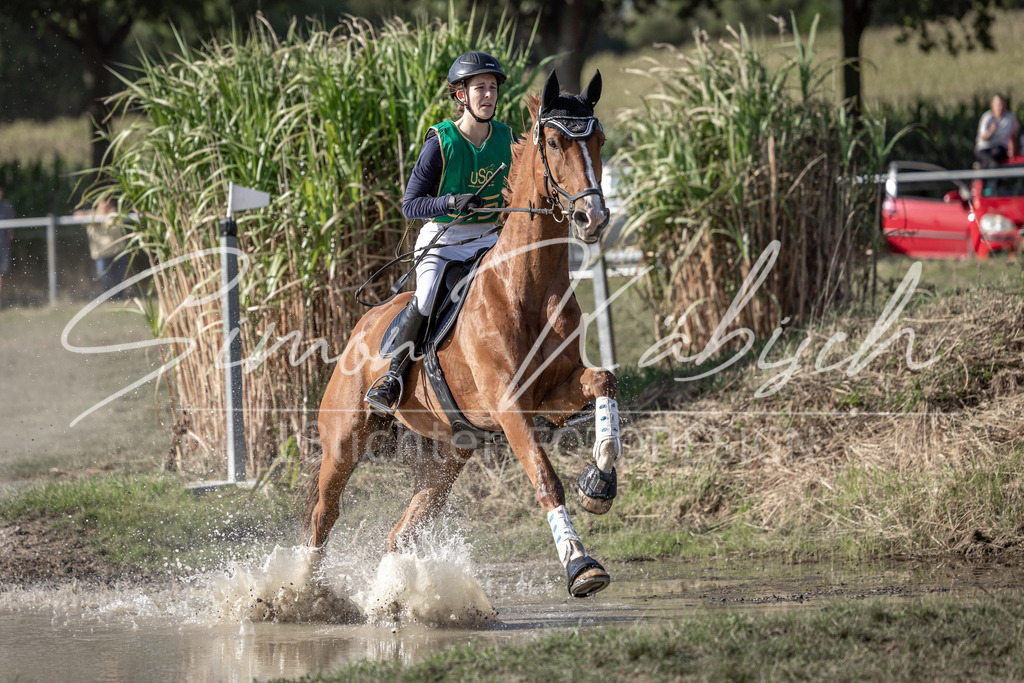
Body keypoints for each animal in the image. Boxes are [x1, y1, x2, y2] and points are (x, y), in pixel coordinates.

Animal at [305, 69, 623, 598]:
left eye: (597, 140)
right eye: (555, 142)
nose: (592, 218)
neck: (526, 284)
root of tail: (361, 328)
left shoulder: (553, 394)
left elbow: (604, 381)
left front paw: (599, 483)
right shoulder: (510, 406)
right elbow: (545, 480)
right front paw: (582, 567)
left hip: (450, 453)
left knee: (402, 532)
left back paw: (394, 598)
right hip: (344, 440)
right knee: (323, 514)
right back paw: (301, 595)